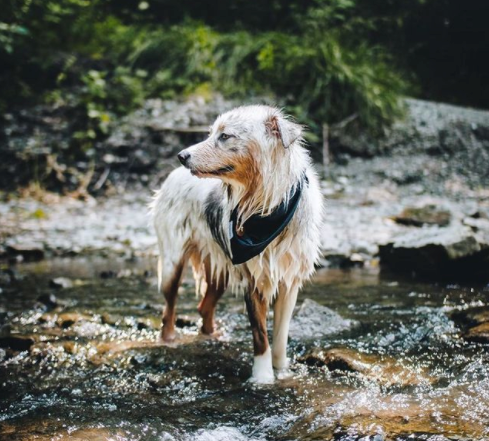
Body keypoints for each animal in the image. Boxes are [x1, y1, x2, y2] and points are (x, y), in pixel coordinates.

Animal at [151, 105, 322, 384]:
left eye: (225, 136)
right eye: (211, 133)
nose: (182, 156)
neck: (265, 207)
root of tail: (172, 175)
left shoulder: (289, 282)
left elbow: (280, 337)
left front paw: (282, 370)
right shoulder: (254, 279)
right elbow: (260, 335)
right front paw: (262, 377)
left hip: (220, 269)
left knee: (204, 307)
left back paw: (212, 336)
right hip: (172, 264)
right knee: (169, 311)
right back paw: (169, 341)